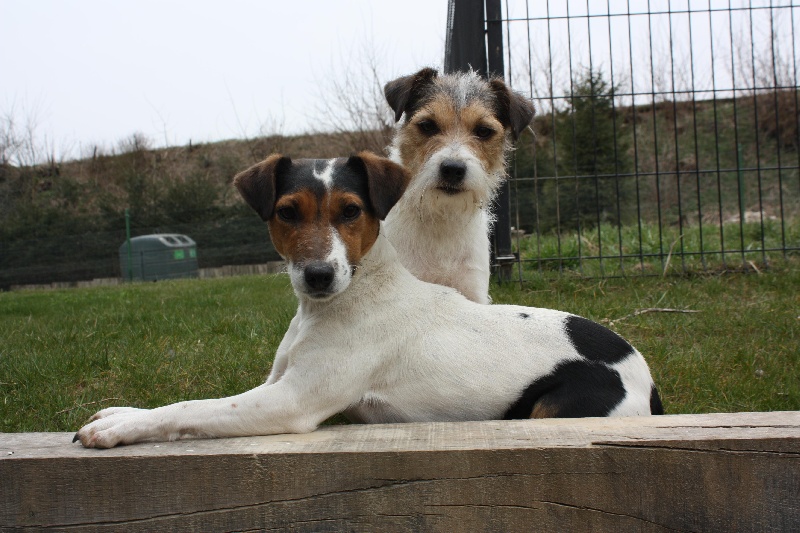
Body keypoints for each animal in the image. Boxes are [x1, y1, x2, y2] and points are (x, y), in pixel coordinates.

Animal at [74, 152, 662, 449]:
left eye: (352, 210)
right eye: (287, 212)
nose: (318, 275)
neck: (340, 303)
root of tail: (648, 382)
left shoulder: (291, 401)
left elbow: (193, 407)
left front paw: (119, 428)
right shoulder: (275, 382)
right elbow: (196, 400)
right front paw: (123, 410)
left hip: (554, 407)